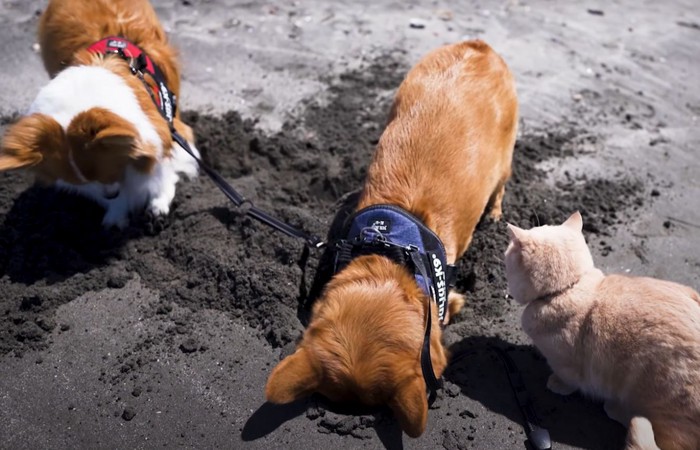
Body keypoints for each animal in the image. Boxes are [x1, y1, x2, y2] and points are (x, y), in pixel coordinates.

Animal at [0, 0, 197, 229]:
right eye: (88, 180)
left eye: (111, 170)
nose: (110, 194)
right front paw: (117, 212)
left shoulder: (168, 129)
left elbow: (162, 173)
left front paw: (158, 204)